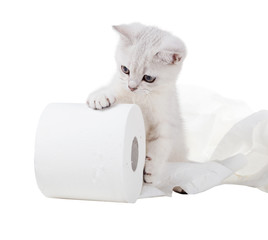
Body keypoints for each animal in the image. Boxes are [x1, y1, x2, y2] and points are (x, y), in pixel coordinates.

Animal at [87, 23, 187, 186]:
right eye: (125, 69)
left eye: (148, 78)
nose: (132, 87)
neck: (140, 99)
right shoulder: (121, 89)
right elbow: (114, 90)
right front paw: (100, 96)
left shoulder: (168, 122)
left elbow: (162, 144)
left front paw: (152, 171)